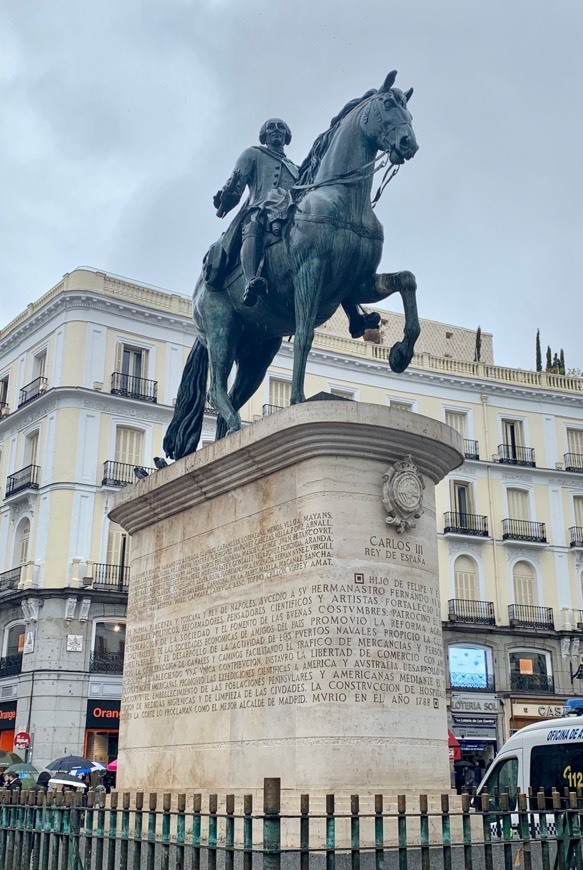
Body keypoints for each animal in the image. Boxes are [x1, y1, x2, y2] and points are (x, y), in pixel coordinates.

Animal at [164, 73, 420, 464]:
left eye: (409, 111)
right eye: (388, 105)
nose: (409, 144)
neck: (343, 198)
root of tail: (196, 296)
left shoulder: (357, 283)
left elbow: (406, 280)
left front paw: (401, 351)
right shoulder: (308, 274)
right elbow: (303, 337)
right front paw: (298, 400)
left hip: (257, 351)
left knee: (234, 394)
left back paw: (228, 438)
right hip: (222, 332)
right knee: (216, 387)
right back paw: (234, 425)